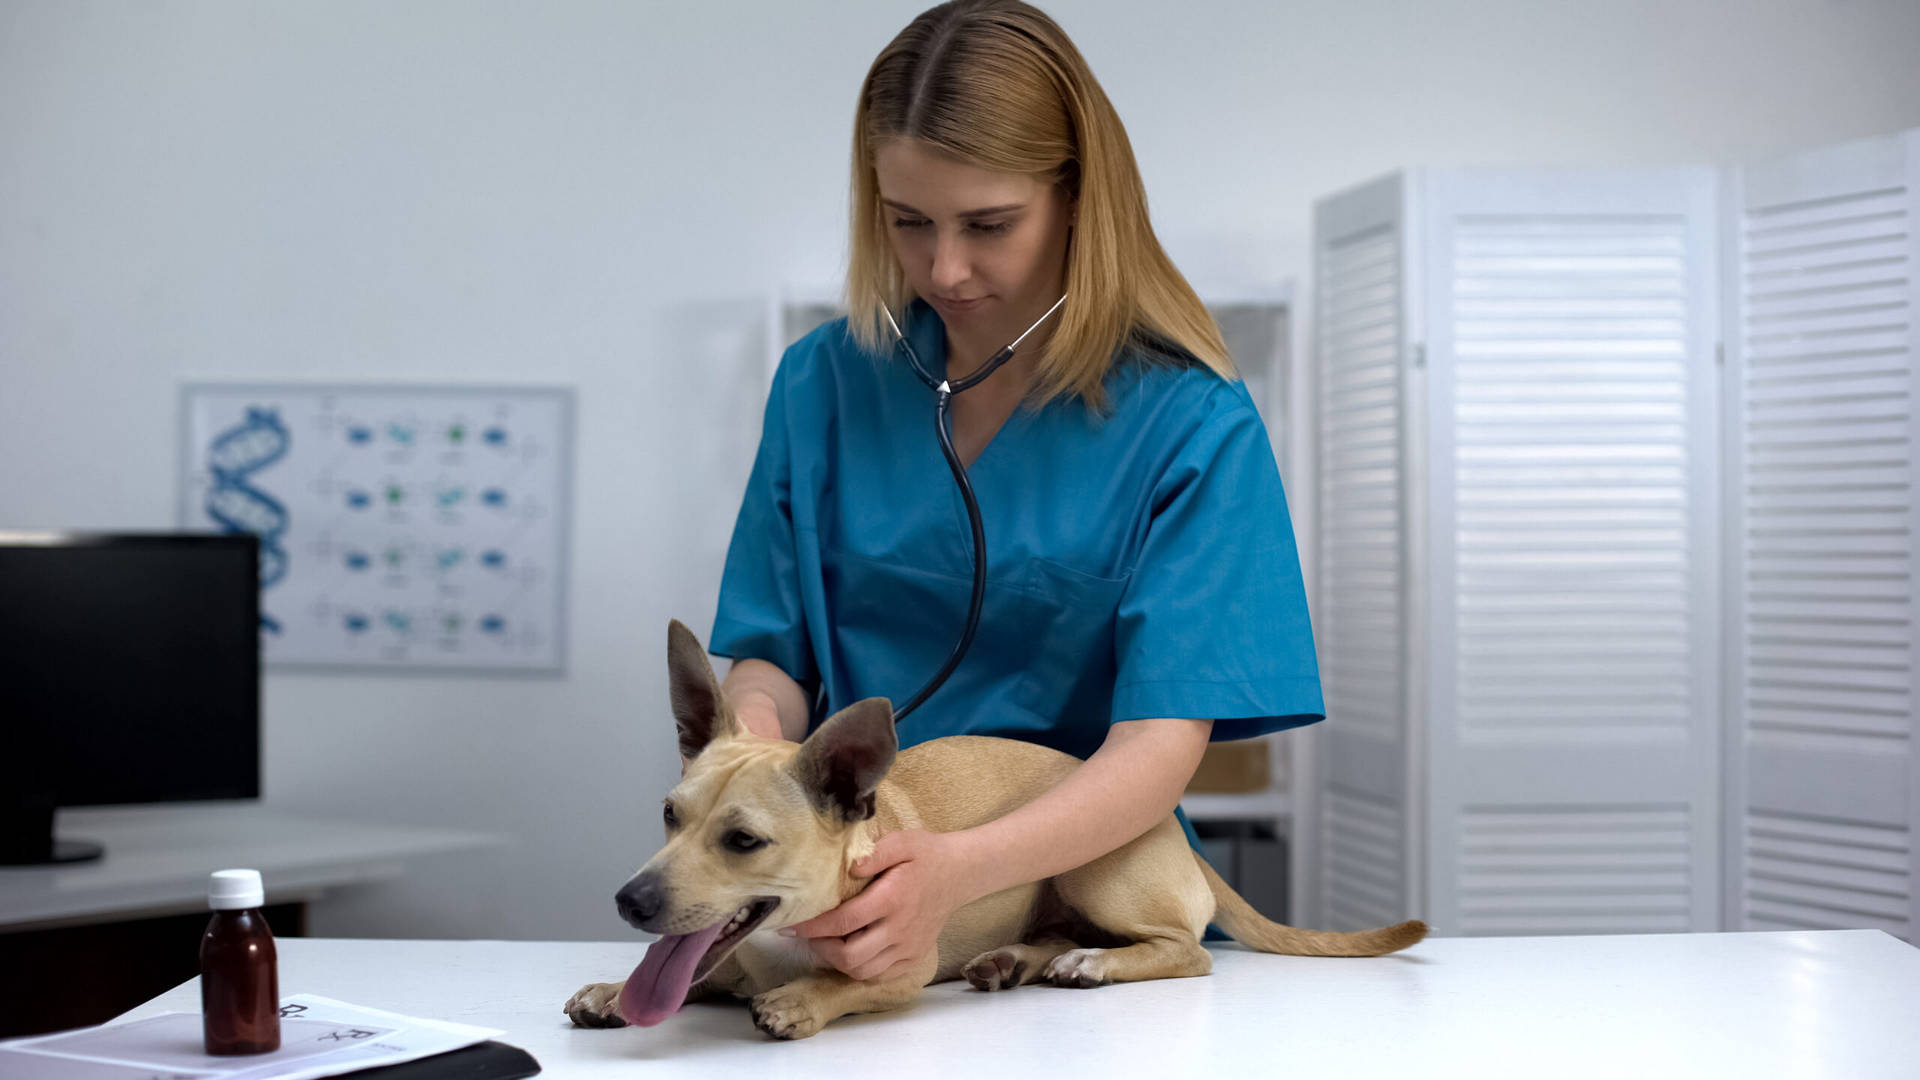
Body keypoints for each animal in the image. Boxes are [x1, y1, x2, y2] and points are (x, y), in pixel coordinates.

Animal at [560, 622, 1428, 1037]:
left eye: (743, 842)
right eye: (669, 815)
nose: (629, 901)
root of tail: (1173, 834)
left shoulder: (900, 968)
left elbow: (846, 985)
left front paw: (805, 999)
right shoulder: (714, 956)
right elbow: (687, 974)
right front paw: (616, 989)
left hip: (1093, 866)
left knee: (1187, 952)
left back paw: (1095, 964)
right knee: (1059, 934)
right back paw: (1016, 960)